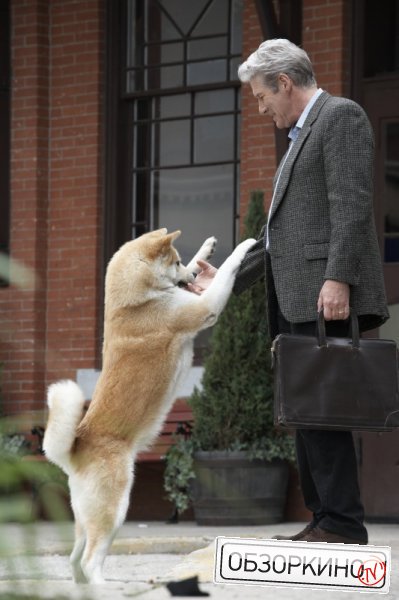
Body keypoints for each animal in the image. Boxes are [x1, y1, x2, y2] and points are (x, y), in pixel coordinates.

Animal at [43, 229, 256, 580]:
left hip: (86, 518)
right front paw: (245, 245)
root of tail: (76, 447)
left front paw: (206, 250)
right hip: (114, 508)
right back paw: (102, 585)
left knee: (74, 559)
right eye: (176, 263)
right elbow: (229, 267)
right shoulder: (205, 306)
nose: (192, 277)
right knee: (89, 561)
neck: (135, 300)